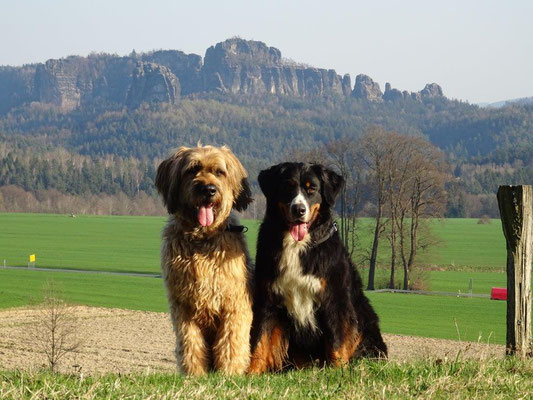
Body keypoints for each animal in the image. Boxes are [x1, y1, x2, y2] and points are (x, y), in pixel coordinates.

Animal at [155, 146, 252, 376]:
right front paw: (194, 373)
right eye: (193, 169)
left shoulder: (234, 303)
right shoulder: (183, 307)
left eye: (219, 172)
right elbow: (190, 342)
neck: (202, 239)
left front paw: (229, 372)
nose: (208, 190)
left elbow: (231, 340)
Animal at [247, 161, 384, 374]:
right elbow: (260, 340)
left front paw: (338, 371)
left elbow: (337, 343)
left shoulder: (334, 299)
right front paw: (250, 373)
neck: (297, 246)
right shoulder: (267, 298)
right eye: (287, 186)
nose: (299, 209)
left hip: (365, 318)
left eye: (312, 189)